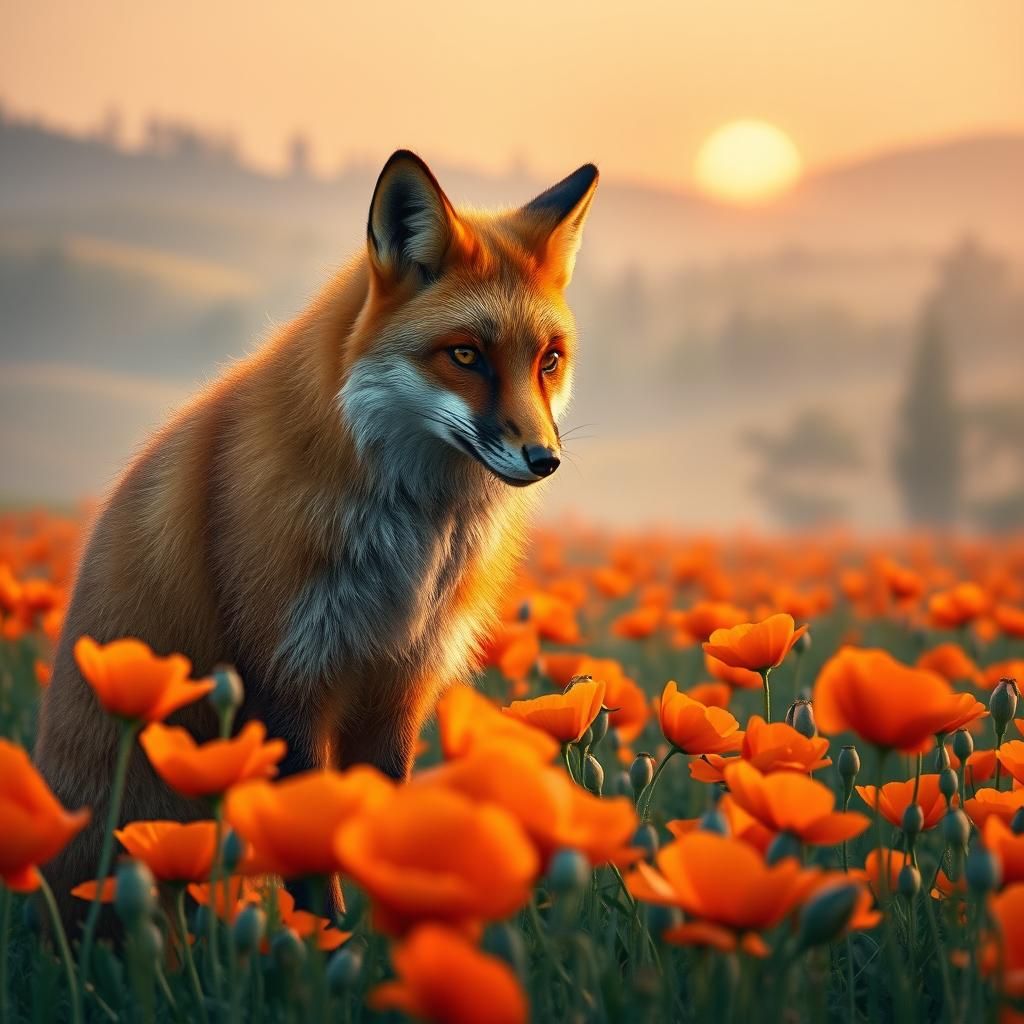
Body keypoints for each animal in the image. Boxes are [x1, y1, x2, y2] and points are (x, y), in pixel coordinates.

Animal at [34, 150, 598, 925]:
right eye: (465, 356)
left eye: (549, 360)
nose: (545, 459)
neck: (409, 548)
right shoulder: (286, 675)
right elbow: (311, 858)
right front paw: (329, 940)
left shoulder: (399, 685)